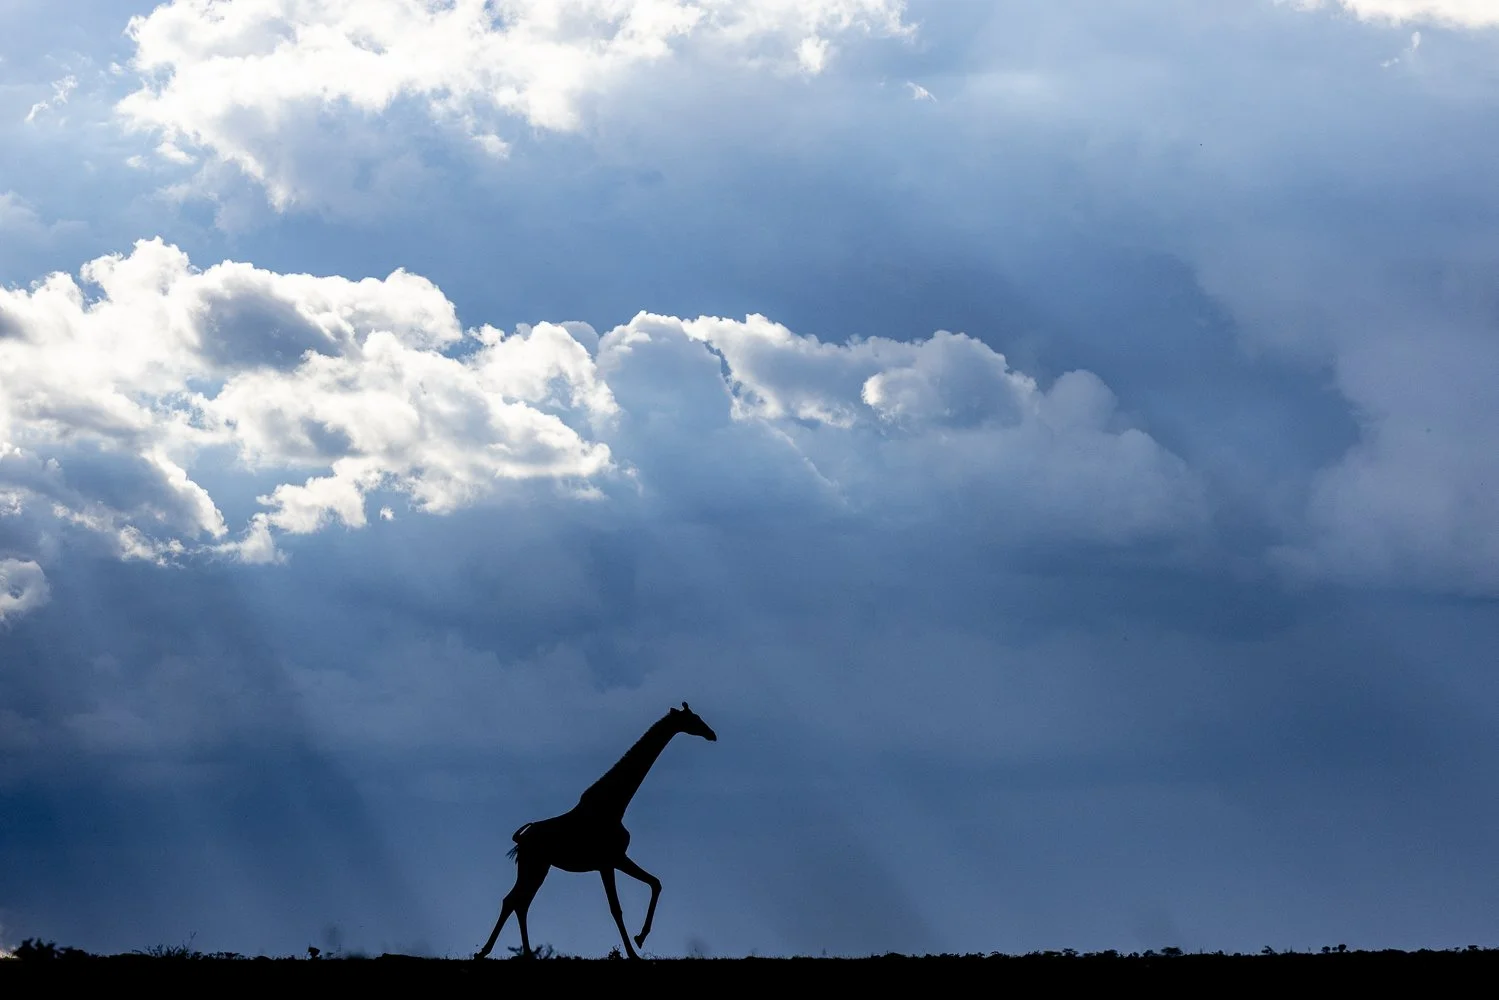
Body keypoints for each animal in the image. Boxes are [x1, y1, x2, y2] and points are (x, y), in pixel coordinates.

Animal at [474, 702, 718, 960]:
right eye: (693, 719)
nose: (711, 734)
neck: (614, 805)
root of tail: (520, 839)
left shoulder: (617, 858)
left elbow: (655, 883)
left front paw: (640, 939)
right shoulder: (608, 861)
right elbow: (617, 908)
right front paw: (634, 952)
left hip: (538, 867)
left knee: (518, 902)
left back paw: (519, 954)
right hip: (534, 866)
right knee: (515, 901)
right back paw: (494, 952)